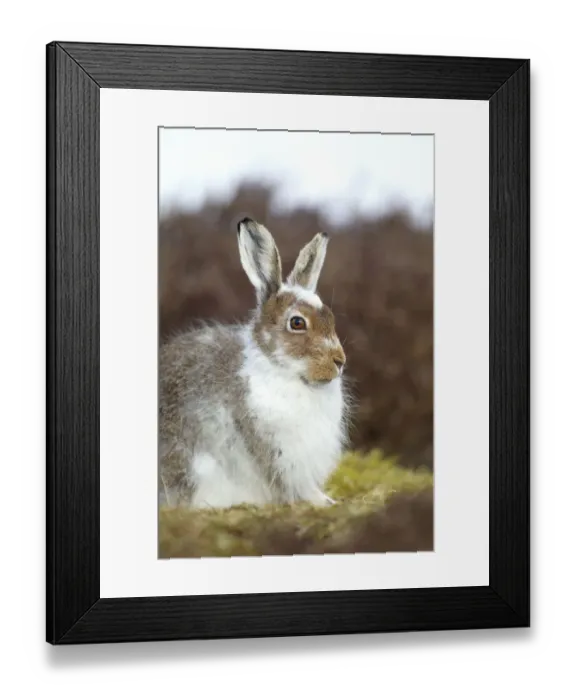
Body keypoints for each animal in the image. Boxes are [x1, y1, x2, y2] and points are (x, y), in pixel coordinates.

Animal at [159, 217, 350, 510]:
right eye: (297, 323)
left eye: (330, 317)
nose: (339, 361)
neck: (284, 372)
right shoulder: (269, 445)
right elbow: (291, 484)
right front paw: (320, 501)